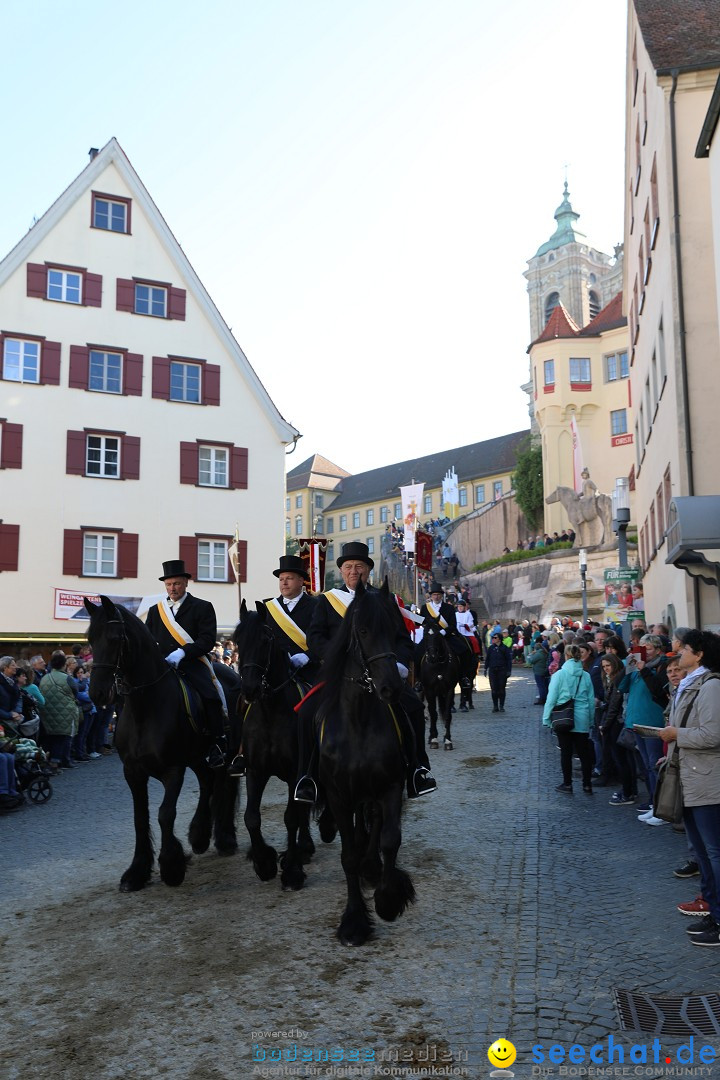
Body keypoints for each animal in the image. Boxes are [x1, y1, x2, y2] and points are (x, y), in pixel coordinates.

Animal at [84, 596, 236, 889]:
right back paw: (200, 835)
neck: (145, 707)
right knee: (208, 780)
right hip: (196, 756)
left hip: (228, 751)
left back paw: (224, 838)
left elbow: (165, 814)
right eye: (90, 639)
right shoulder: (132, 772)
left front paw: (171, 865)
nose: (97, 693)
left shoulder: (173, 769)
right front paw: (137, 871)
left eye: (114, 638)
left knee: (224, 783)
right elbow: (139, 818)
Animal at [235, 604, 317, 889]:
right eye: (237, 640)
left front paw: (292, 870)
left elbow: (291, 817)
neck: (271, 712)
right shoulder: (255, 771)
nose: (249, 689)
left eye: (265, 640)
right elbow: (251, 818)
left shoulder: (294, 773)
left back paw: (304, 847)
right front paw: (264, 862)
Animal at [317, 583, 414, 946]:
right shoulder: (337, 795)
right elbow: (347, 856)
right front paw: (354, 921)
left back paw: (372, 867)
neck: (358, 722)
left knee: (373, 823)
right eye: (362, 631)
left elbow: (389, 839)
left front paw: (387, 900)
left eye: (396, 629)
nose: (391, 688)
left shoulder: (390, 786)